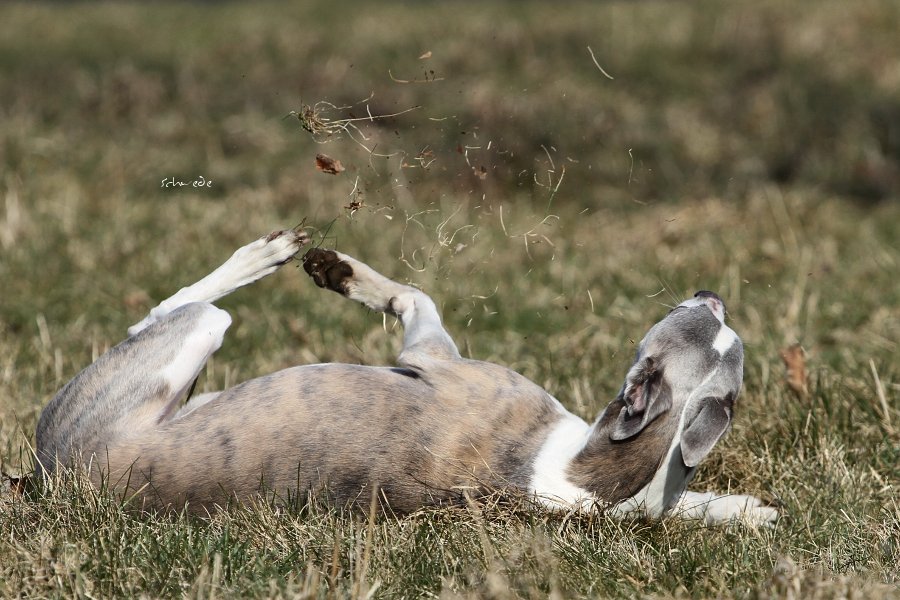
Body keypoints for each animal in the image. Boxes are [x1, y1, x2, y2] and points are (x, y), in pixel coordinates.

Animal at [35, 230, 776, 524]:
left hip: (189, 339)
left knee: (175, 308)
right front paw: (747, 509)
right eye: (707, 323)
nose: (710, 294)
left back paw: (264, 254)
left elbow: (410, 293)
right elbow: (674, 496)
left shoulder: (434, 356)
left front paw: (341, 272)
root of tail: (51, 472)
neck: (579, 468)